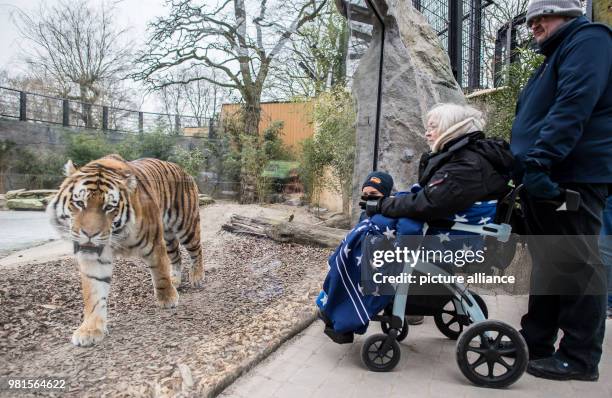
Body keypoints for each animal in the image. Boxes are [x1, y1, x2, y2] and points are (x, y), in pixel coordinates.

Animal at [47, 154, 204, 346]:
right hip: (168, 237)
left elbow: (160, 273)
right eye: (79, 203)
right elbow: (94, 293)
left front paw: (167, 299)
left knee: (196, 250)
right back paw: (175, 279)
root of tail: (183, 170)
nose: (89, 234)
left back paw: (197, 277)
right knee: (176, 256)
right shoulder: (95, 258)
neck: (117, 234)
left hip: (186, 226)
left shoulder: (154, 244)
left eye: (109, 207)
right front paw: (90, 330)